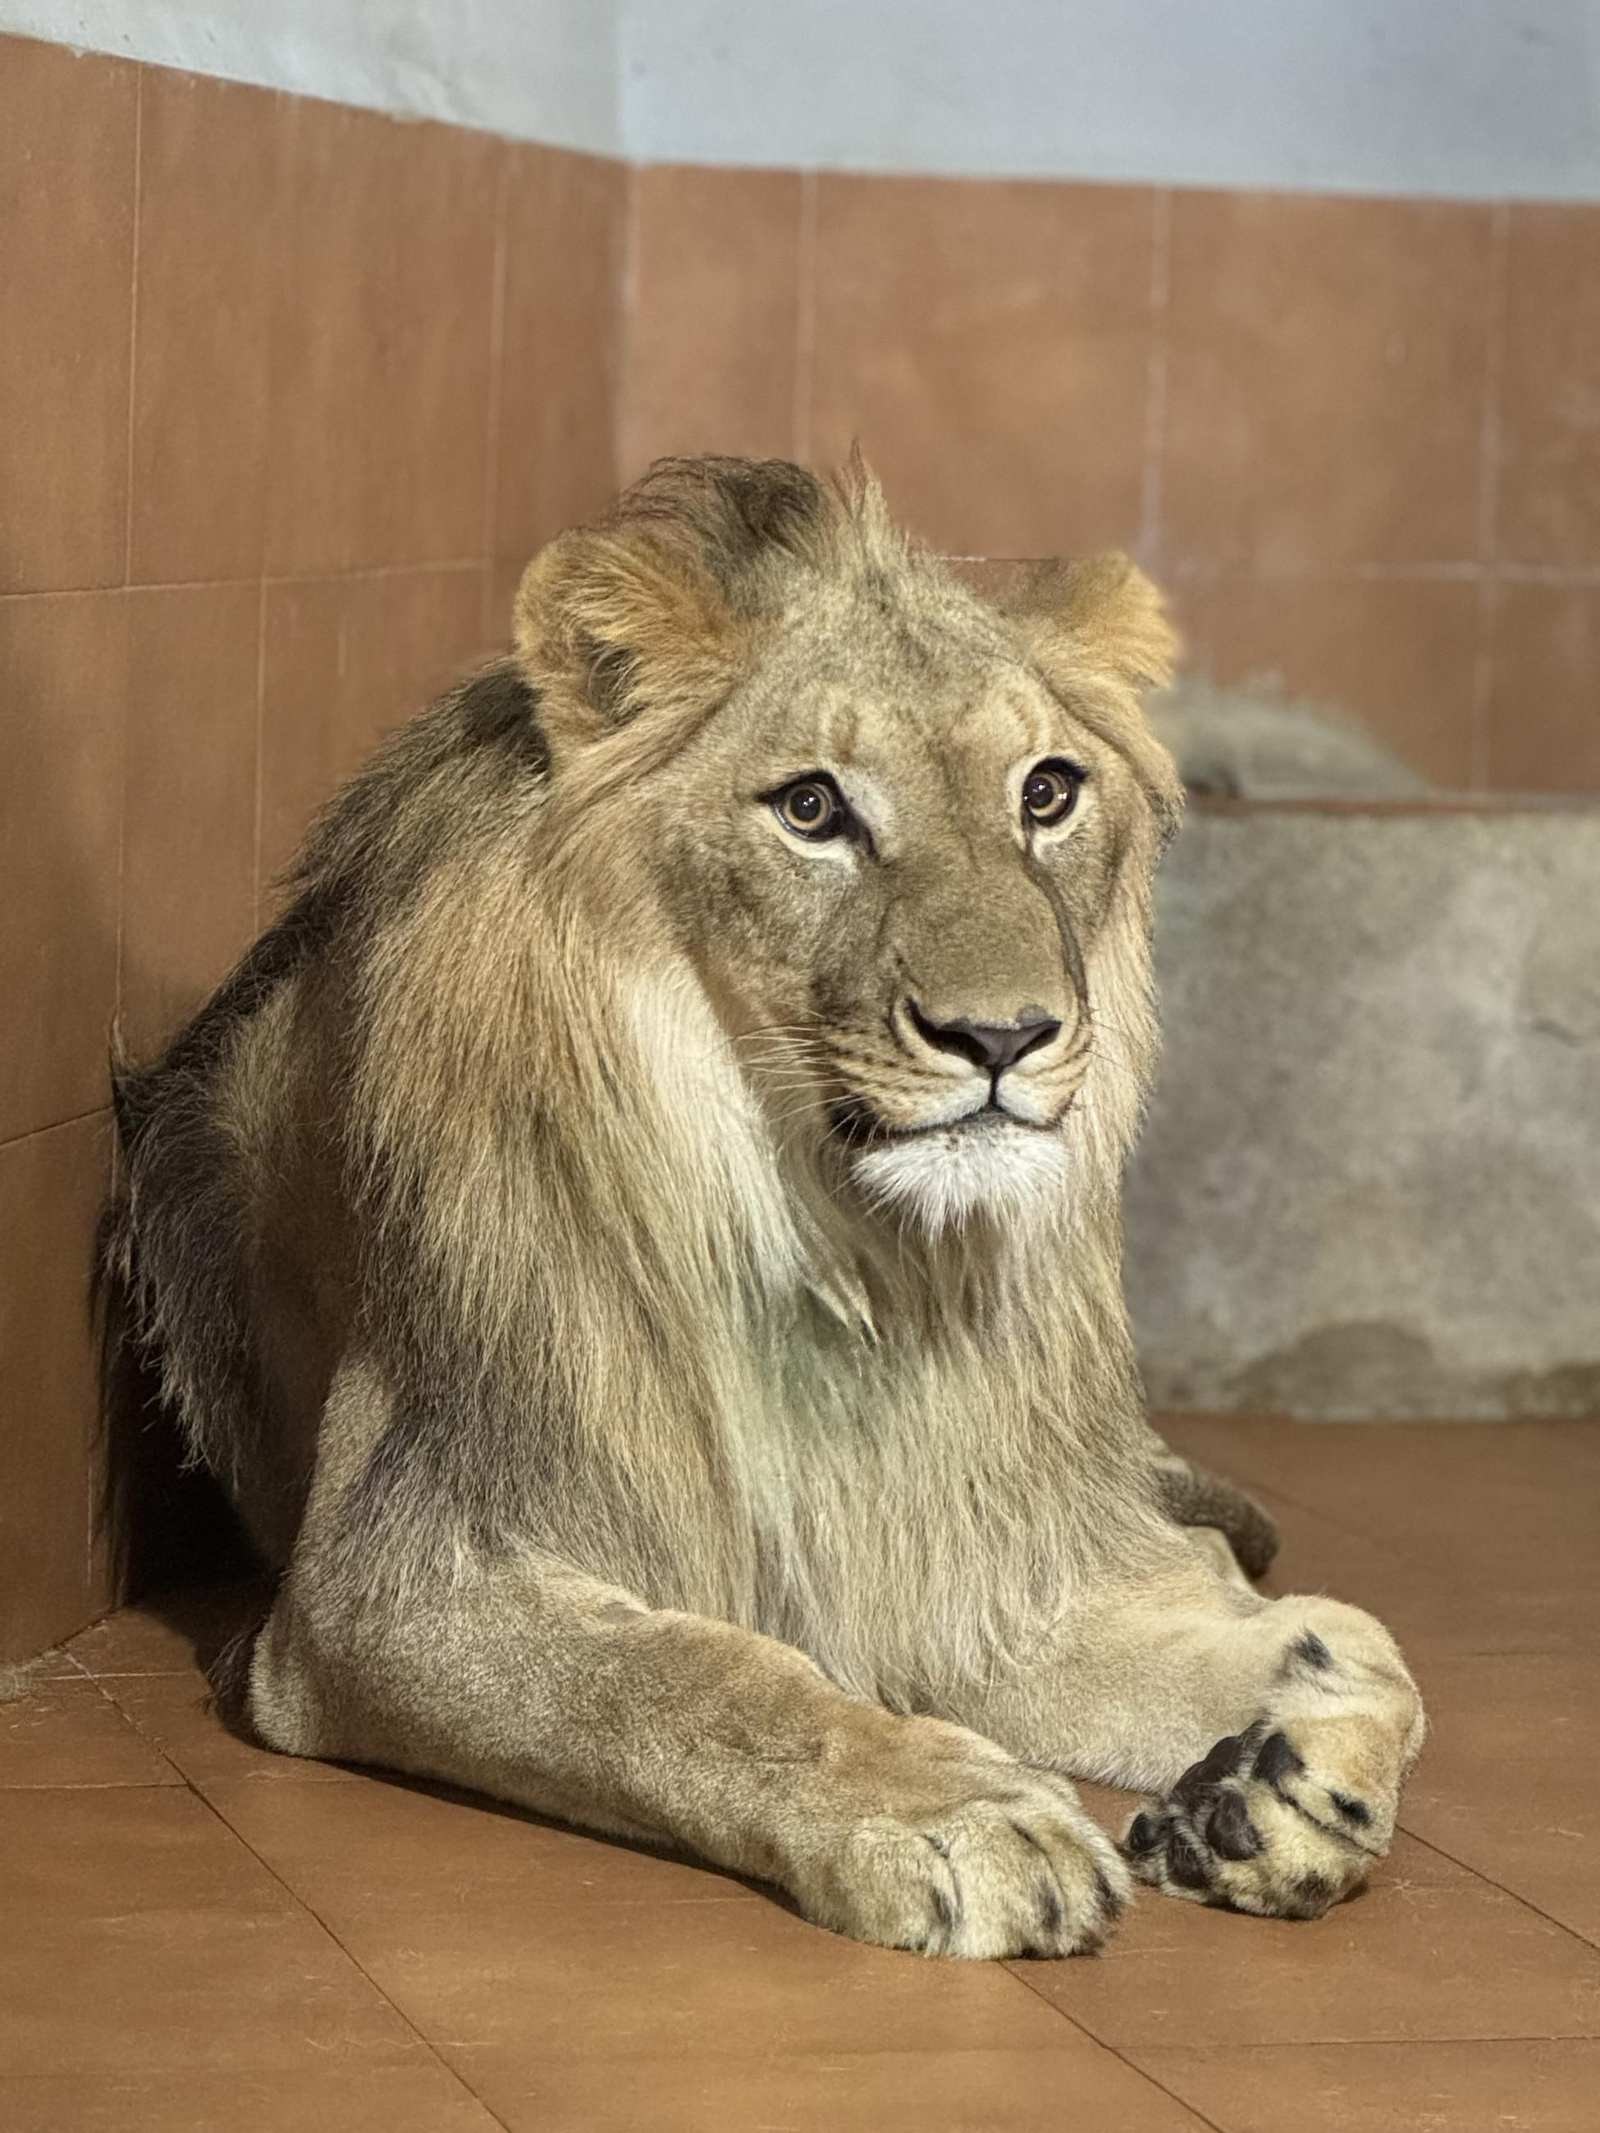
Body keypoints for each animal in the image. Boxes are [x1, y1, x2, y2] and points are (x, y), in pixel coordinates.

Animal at [108, 456, 1422, 1958]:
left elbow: (1373, 1655)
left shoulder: (975, 1560)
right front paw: (955, 1816)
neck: (844, 1246)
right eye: (810, 809)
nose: (1003, 1036)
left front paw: (1278, 1785)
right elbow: (692, 1679)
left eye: (1046, 792)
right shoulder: (386, 1581)